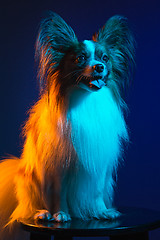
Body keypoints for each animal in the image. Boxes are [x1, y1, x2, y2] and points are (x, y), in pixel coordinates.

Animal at [0, 10, 135, 238]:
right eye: (80, 58)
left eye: (105, 58)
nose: (99, 67)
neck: (87, 99)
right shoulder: (58, 165)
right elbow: (58, 192)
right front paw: (60, 214)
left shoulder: (98, 162)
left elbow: (97, 190)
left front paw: (101, 211)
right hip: (31, 180)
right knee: (29, 206)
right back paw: (43, 212)